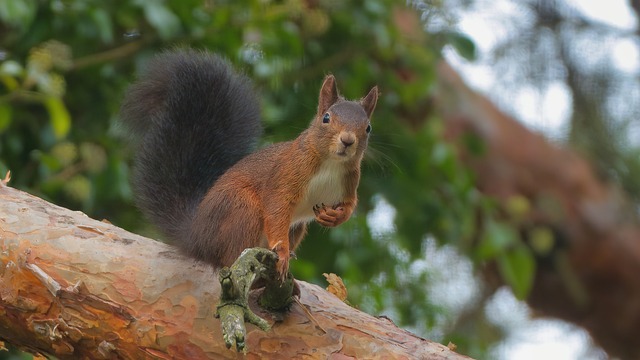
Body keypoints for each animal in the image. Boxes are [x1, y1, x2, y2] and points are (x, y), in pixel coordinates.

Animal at [121, 49, 376, 278]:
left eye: (368, 128)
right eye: (326, 118)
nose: (347, 140)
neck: (331, 164)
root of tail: (195, 236)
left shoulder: (349, 183)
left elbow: (350, 205)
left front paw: (334, 217)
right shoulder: (287, 174)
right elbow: (276, 207)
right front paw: (282, 253)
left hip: (294, 227)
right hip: (241, 210)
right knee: (230, 256)